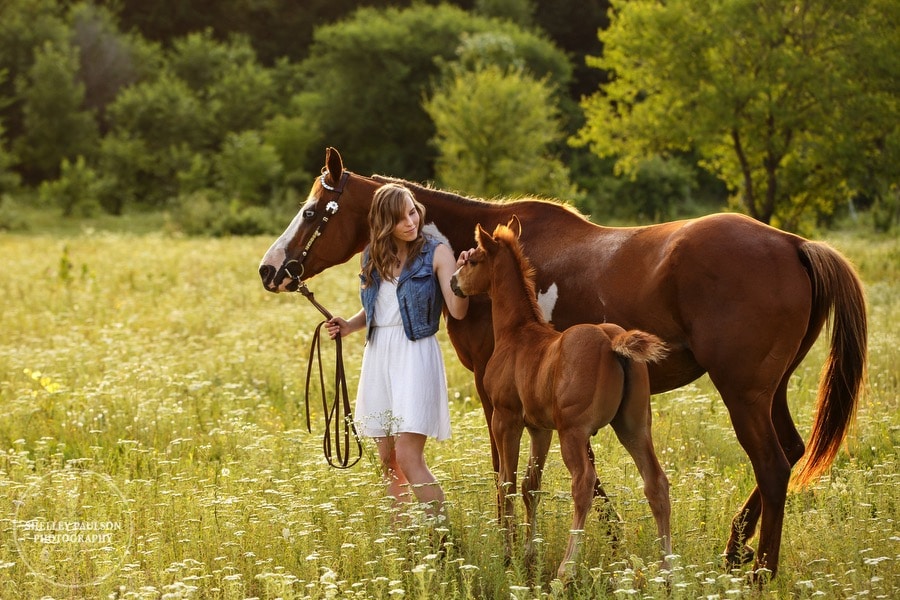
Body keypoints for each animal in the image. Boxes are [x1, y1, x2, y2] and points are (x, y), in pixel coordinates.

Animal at [454, 218, 672, 580]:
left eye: (472, 260)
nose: (454, 283)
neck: (518, 333)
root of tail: (612, 342)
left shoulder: (506, 418)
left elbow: (506, 483)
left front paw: (508, 555)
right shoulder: (539, 428)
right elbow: (531, 485)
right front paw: (529, 553)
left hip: (574, 432)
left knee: (583, 483)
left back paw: (565, 570)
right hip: (633, 425)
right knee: (656, 482)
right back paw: (667, 571)